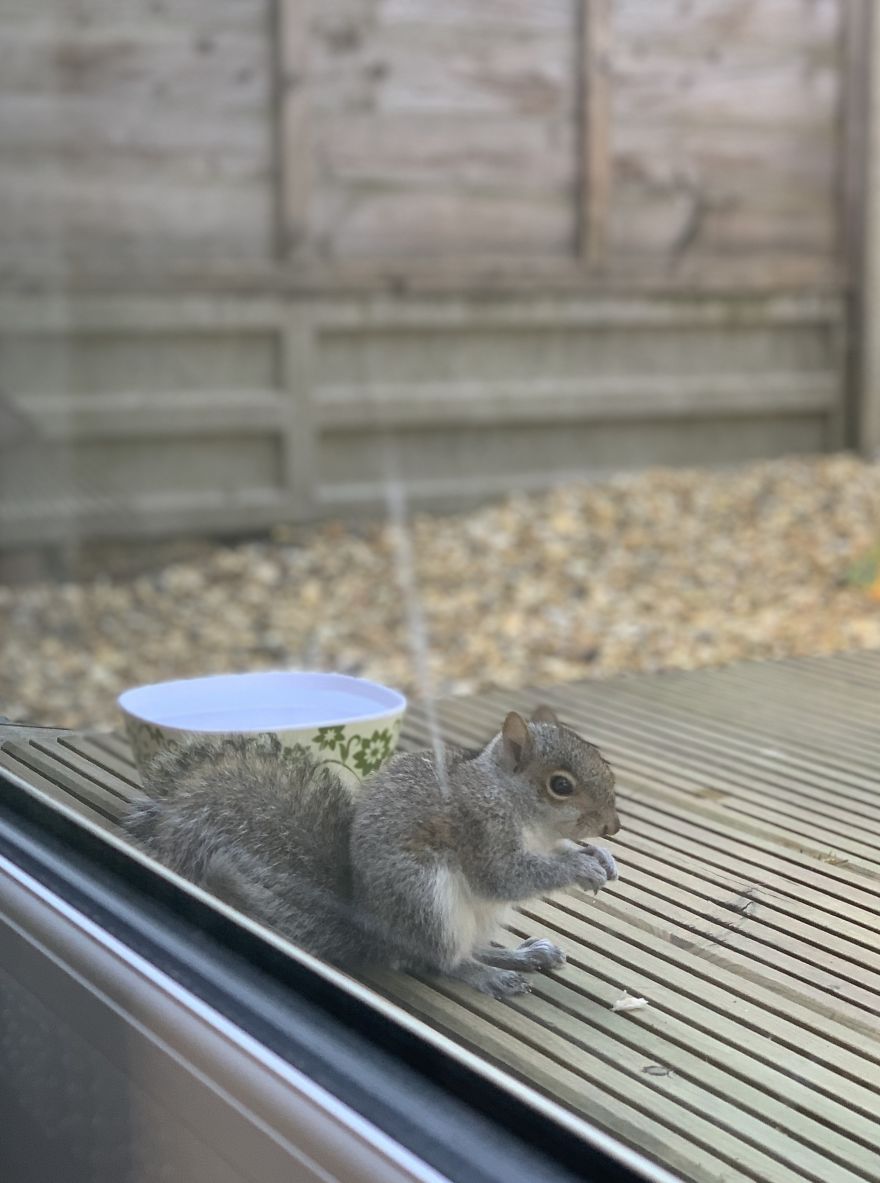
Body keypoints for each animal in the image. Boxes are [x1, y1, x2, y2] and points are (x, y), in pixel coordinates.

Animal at [123, 705, 620, 998]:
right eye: (561, 785)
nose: (613, 827)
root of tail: (375, 930)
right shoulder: (478, 829)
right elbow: (505, 876)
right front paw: (577, 866)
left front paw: (599, 858)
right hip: (426, 899)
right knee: (442, 961)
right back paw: (487, 974)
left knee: (465, 950)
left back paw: (521, 954)